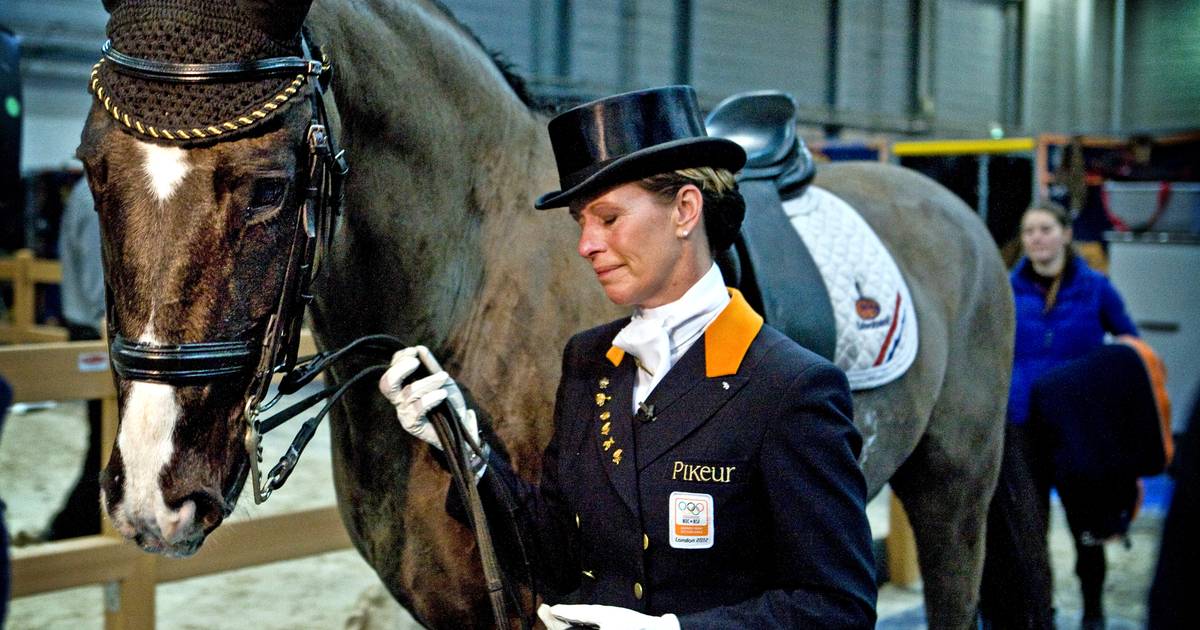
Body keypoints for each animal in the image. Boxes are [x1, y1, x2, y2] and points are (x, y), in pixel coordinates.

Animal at [77, 1, 1014, 627]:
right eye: (91, 167)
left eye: (271, 185)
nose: (153, 496)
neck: (471, 280)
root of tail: (960, 213)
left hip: (955, 492)